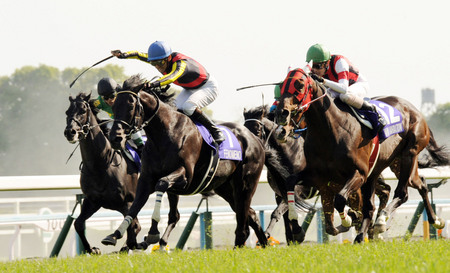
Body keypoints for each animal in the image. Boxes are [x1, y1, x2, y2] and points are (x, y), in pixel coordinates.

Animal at [63, 92, 141, 253]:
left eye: (83, 111)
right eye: (67, 112)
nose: (70, 132)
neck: (99, 166)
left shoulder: (128, 202)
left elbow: (131, 226)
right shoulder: (92, 201)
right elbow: (78, 223)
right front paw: (92, 249)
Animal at [100, 75, 268, 248]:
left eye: (131, 105)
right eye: (114, 106)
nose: (115, 138)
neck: (164, 133)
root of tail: (255, 139)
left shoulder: (185, 176)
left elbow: (162, 183)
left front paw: (153, 232)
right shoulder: (146, 178)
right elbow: (135, 206)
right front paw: (115, 234)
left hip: (245, 185)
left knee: (242, 225)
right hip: (225, 187)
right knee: (251, 215)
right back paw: (264, 243)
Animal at [272, 66, 448, 242]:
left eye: (300, 85)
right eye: (282, 85)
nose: (282, 114)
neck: (330, 131)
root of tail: (415, 110)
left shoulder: (359, 173)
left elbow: (341, 200)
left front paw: (349, 219)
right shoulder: (317, 176)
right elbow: (290, 182)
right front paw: (296, 225)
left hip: (409, 153)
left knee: (401, 193)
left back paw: (381, 221)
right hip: (386, 167)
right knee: (418, 185)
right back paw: (435, 220)